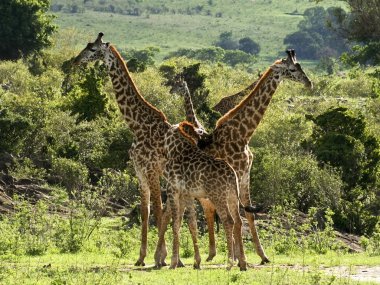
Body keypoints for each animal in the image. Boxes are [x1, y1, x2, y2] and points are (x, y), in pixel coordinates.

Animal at [73, 32, 172, 266]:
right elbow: (145, 212)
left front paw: (160, 257)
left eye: (92, 49)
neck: (137, 126)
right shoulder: (140, 172)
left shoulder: (152, 171)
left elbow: (158, 210)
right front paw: (141, 258)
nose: (75, 61)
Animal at [153, 121, 254, 270]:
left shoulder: (173, 190)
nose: (162, 147)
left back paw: (229, 263)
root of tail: (232, 174)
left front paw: (173, 263)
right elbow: (191, 224)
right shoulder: (186, 194)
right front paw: (196, 262)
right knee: (238, 221)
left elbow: (175, 224)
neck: (176, 151)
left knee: (229, 221)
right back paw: (242, 264)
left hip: (217, 196)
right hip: (232, 197)